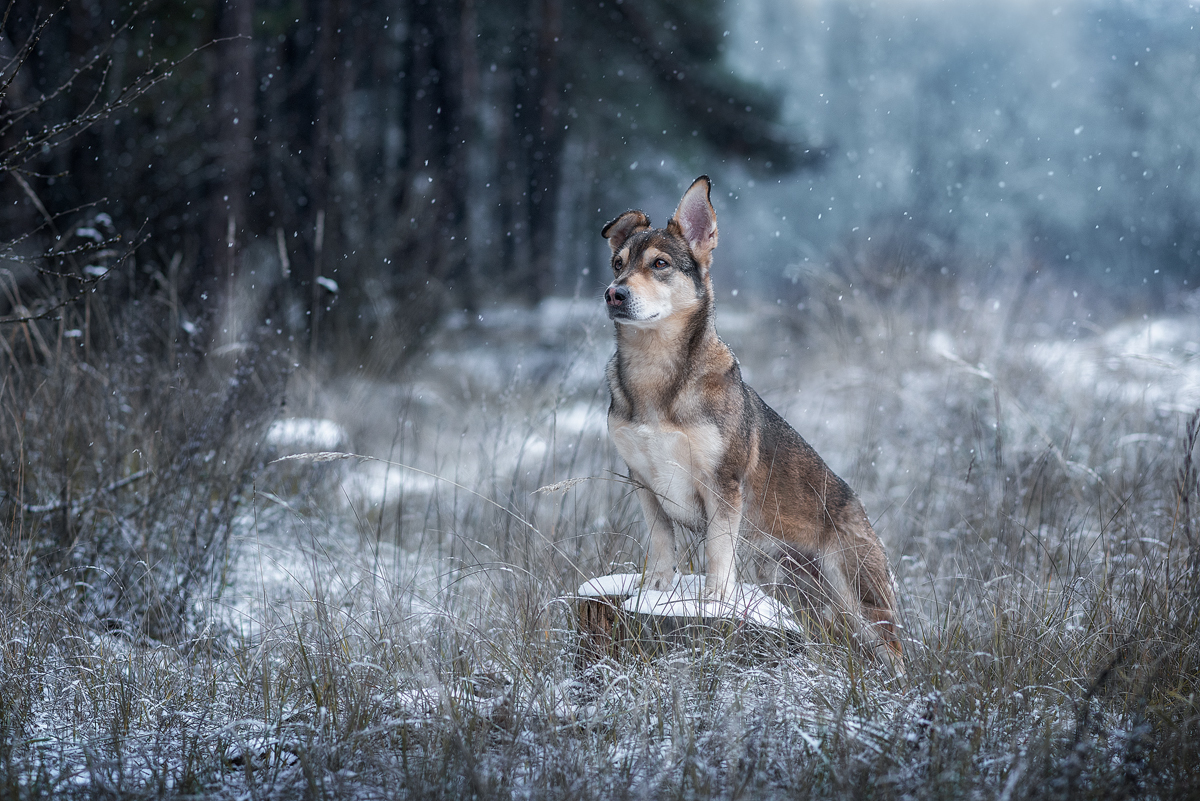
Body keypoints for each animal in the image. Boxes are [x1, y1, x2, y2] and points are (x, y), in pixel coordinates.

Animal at [604, 176, 902, 671]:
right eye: (617, 264)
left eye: (660, 264)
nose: (614, 294)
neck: (656, 377)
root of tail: (860, 509)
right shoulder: (643, 480)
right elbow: (661, 545)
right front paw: (657, 591)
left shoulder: (723, 484)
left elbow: (718, 556)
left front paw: (712, 602)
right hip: (799, 590)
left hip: (859, 591)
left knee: (895, 654)